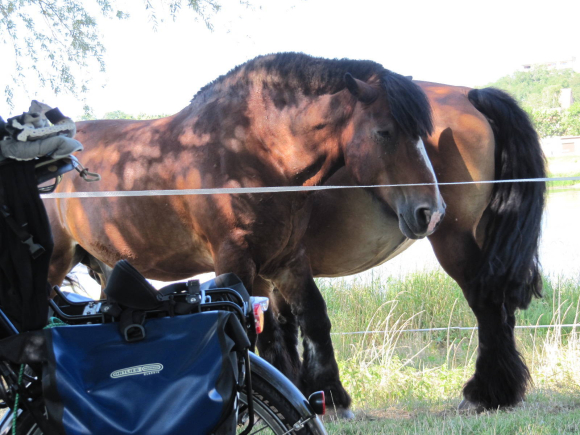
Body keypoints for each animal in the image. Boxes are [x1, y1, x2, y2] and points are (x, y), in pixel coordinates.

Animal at [46, 52, 444, 414]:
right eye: (384, 132)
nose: (432, 212)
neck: (254, 149)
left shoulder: (287, 260)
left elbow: (312, 317)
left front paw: (331, 395)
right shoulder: (234, 260)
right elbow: (252, 333)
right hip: (55, 262)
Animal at [256, 82, 548, 412]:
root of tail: (469, 93)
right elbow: (281, 328)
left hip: (454, 240)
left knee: (486, 304)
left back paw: (483, 393)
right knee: (502, 307)